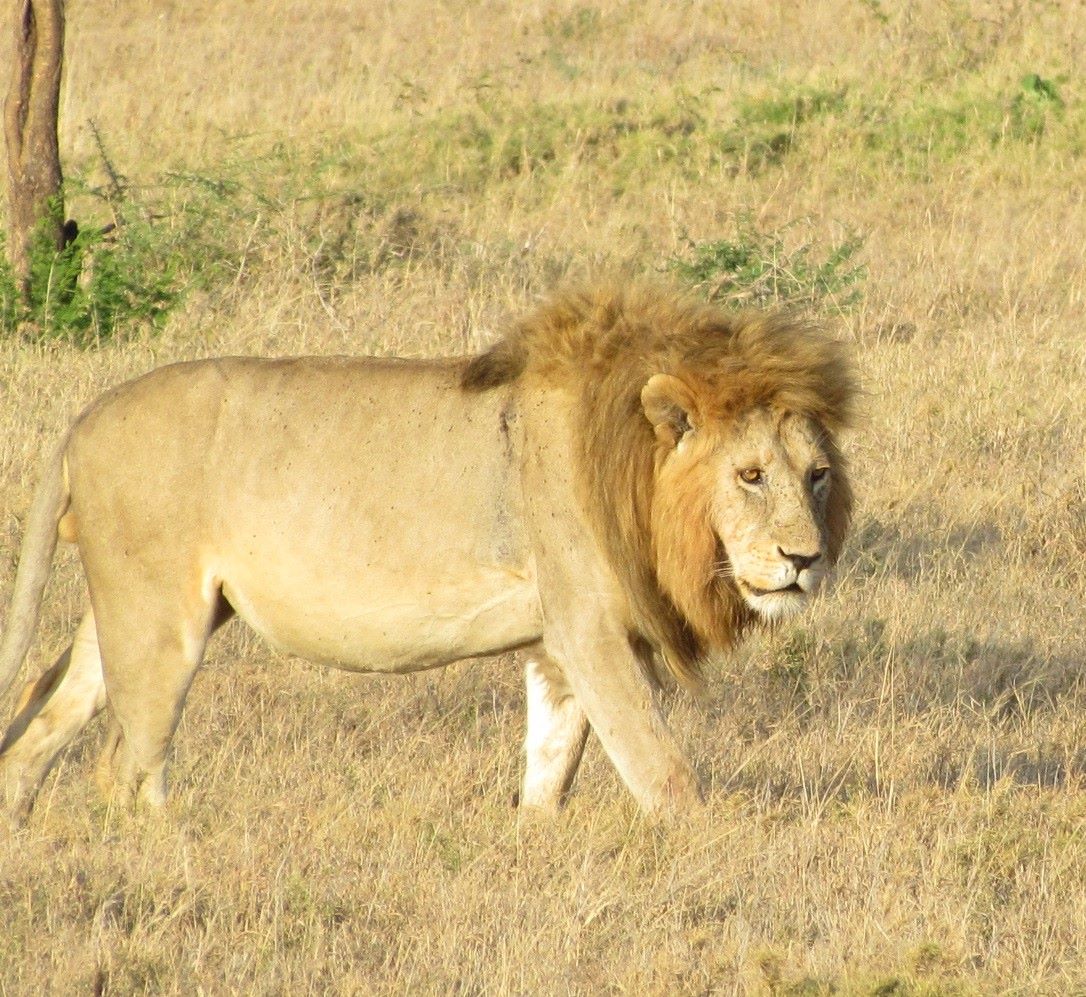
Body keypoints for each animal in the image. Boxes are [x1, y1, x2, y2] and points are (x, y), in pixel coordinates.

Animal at [0, 281, 855, 823]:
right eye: (750, 475)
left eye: (817, 475)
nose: (805, 559)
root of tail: (83, 420)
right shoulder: (588, 625)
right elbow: (658, 765)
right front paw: (711, 848)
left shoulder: (557, 641)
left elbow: (551, 763)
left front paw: (531, 841)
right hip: (158, 624)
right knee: (128, 763)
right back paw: (172, 850)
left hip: (130, 614)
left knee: (41, 725)